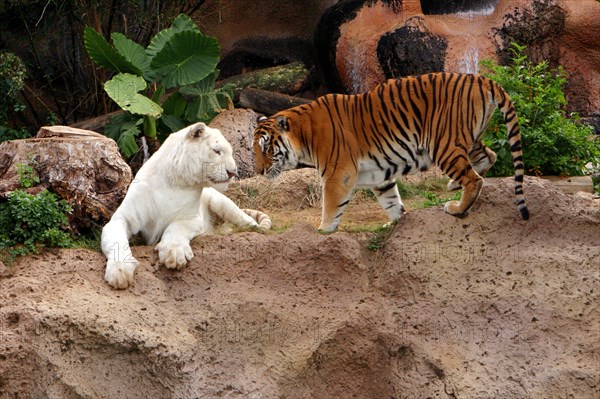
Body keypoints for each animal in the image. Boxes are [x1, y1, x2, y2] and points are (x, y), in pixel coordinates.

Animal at [102, 122, 270, 290]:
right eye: (217, 151)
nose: (233, 172)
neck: (174, 183)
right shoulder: (121, 219)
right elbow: (116, 240)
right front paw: (120, 271)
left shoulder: (193, 219)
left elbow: (176, 228)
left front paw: (175, 253)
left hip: (221, 203)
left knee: (245, 218)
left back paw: (255, 228)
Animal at [253, 73, 528, 233]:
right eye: (254, 150)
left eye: (266, 148)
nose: (258, 170)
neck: (303, 135)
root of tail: (482, 79)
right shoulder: (380, 175)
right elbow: (391, 201)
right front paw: (396, 222)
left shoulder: (338, 172)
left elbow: (331, 205)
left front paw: (324, 230)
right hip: (466, 139)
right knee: (488, 157)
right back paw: (453, 185)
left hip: (443, 143)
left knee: (474, 179)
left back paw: (457, 208)